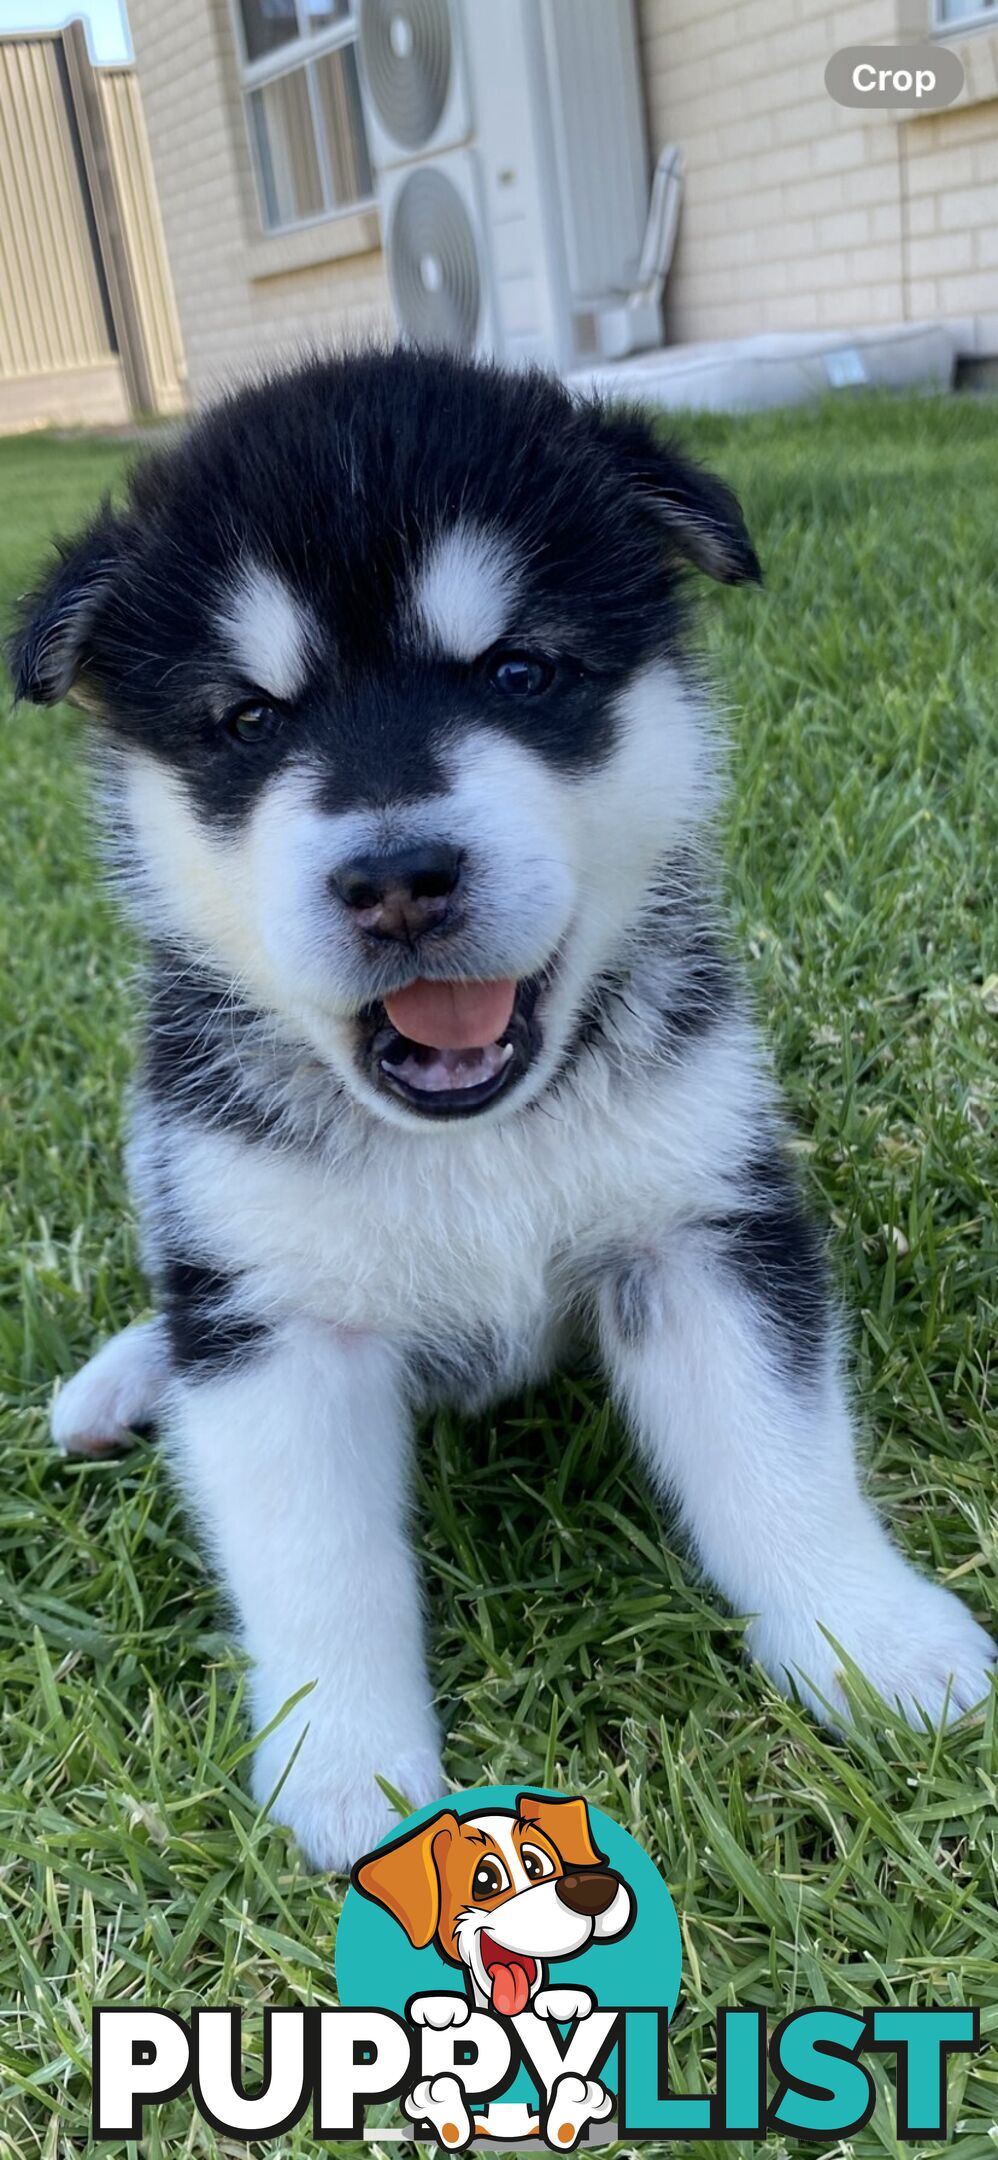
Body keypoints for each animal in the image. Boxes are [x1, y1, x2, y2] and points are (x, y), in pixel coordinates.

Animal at [11, 345, 993, 1866]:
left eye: (519, 671)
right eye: (248, 721)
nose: (397, 878)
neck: (468, 1144)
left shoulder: (695, 1230)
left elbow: (778, 1456)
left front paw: (866, 1635)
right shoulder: (273, 1320)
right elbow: (315, 1563)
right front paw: (348, 1772)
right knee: (177, 1309)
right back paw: (125, 1377)